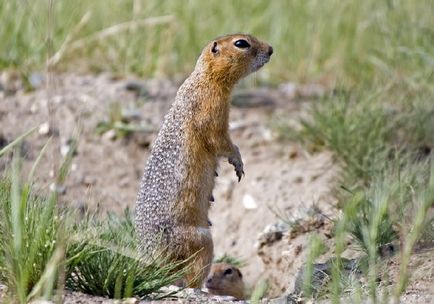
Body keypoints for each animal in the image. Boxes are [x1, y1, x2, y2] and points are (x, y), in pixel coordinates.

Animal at [136, 33, 272, 288]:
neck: (204, 78)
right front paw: (238, 161)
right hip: (200, 241)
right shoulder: (212, 108)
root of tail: (152, 258)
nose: (271, 49)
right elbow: (219, 138)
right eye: (241, 43)